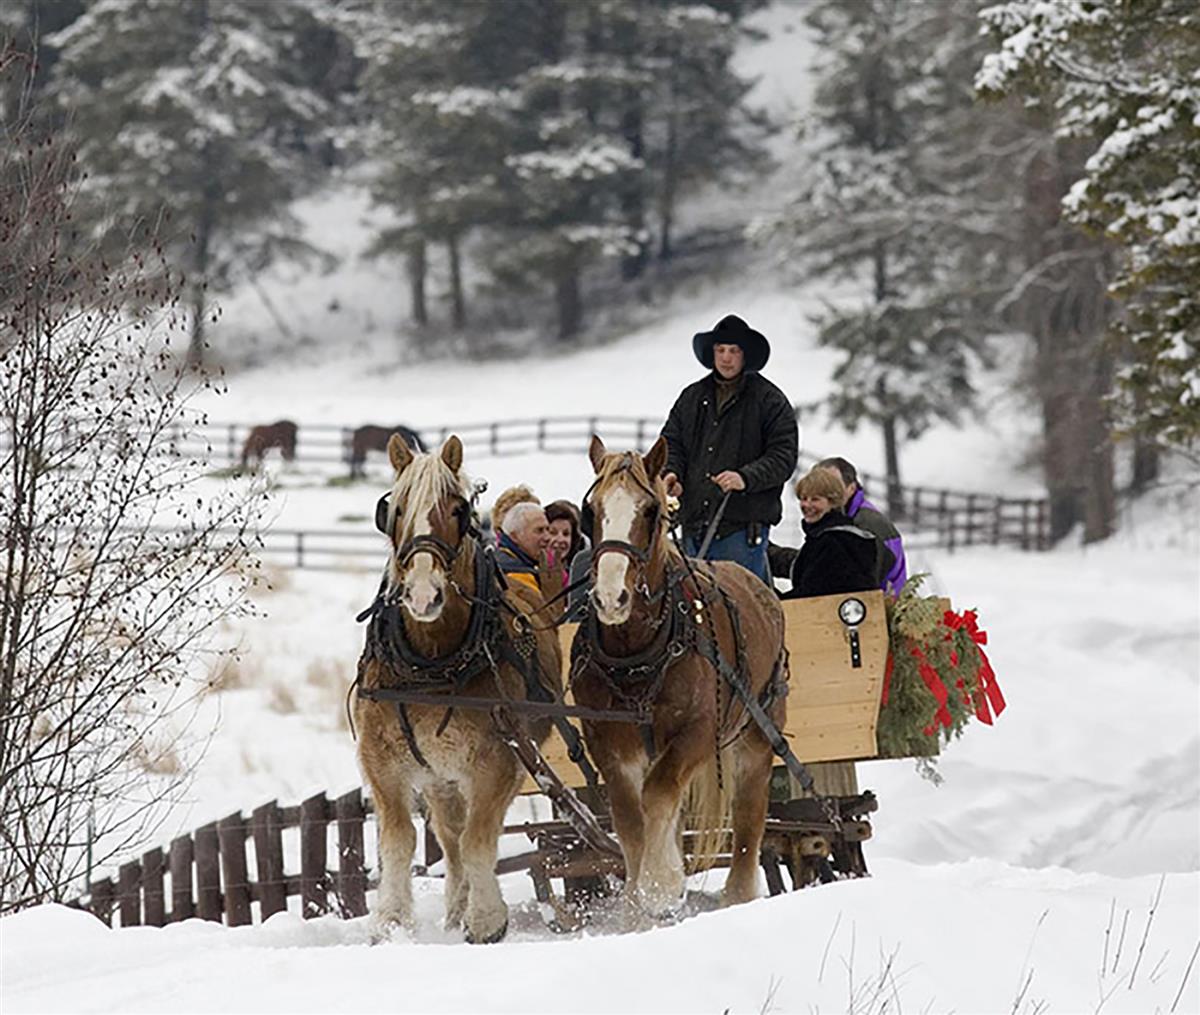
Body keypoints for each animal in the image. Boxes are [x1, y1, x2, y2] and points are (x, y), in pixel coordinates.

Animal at [350, 436, 561, 945]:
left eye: (458, 509)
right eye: (395, 509)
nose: (424, 595)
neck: (431, 663)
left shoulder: (499, 760)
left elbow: (478, 838)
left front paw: (486, 921)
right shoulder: (380, 758)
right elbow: (400, 840)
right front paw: (391, 921)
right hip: (439, 775)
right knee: (447, 834)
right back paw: (452, 912)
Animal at [571, 436, 787, 921]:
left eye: (651, 511)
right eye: (592, 509)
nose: (610, 598)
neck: (637, 652)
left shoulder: (698, 731)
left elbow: (658, 793)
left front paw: (660, 883)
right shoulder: (608, 741)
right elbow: (631, 818)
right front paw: (638, 901)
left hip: (756, 736)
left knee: (749, 818)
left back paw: (738, 895)